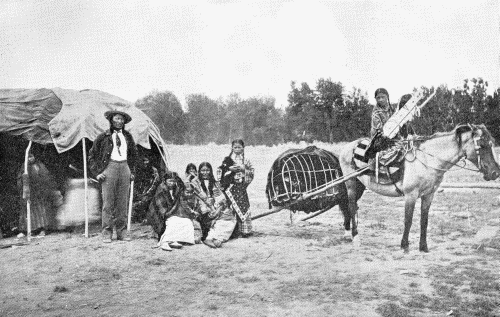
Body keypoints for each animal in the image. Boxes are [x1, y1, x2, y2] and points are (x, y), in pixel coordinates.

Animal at [340, 123, 500, 252]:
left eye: (492, 143)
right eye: (482, 145)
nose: (495, 173)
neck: (427, 160)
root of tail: (347, 146)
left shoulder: (429, 195)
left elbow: (424, 220)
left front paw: (423, 247)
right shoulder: (410, 195)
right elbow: (408, 220)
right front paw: (404, 246)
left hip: (360, 185)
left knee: (350, 207)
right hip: (351, 183)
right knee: (352, 207)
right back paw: (355, 237)